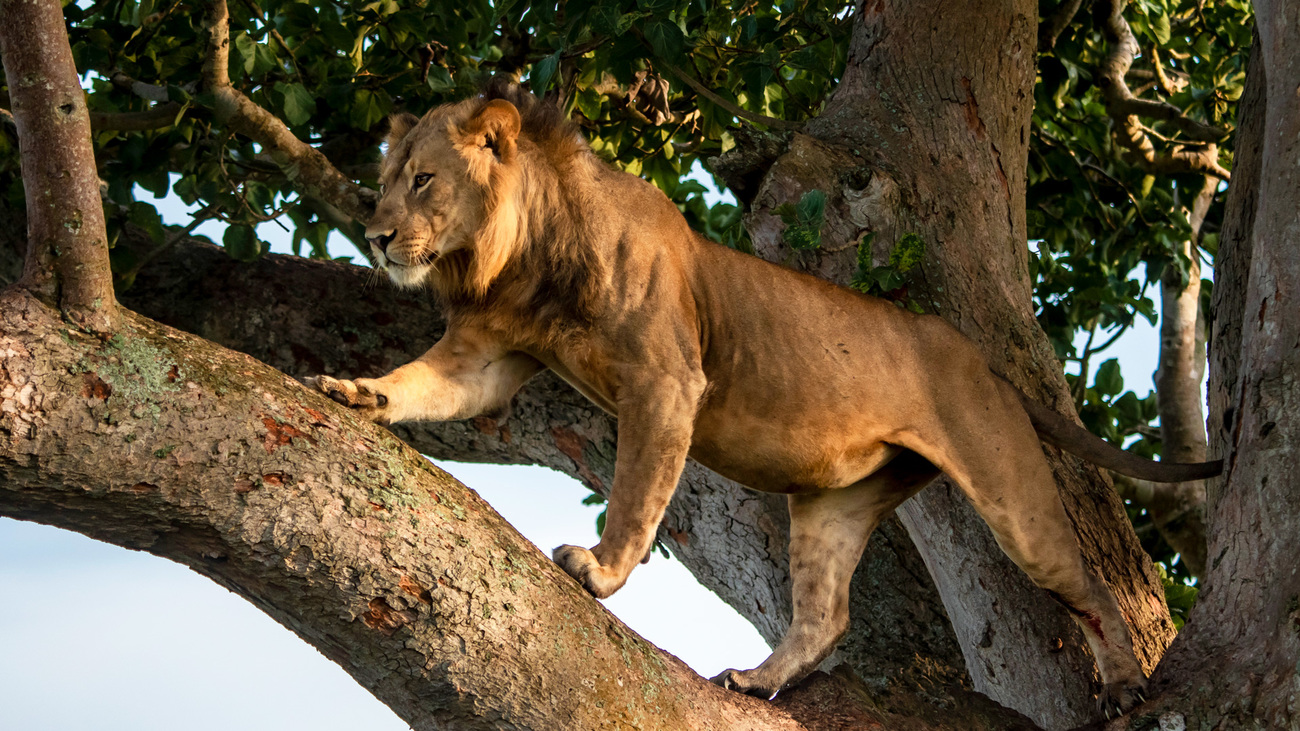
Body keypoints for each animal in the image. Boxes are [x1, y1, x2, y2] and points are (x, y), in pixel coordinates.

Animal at [304, 83, 1216, 712]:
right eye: (385, 181)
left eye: (424, 180)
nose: (376, 236)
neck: (524, 252)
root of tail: (987, 363)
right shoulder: (490, 355)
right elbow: (418, 383)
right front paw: (354, 390)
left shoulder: (667, 381)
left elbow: (636, 496)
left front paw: (599, 571)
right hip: (832, 503)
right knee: (826, 616)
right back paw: (756, 676)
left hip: (1008, 492)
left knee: (1092, 584)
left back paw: (1127, 686)